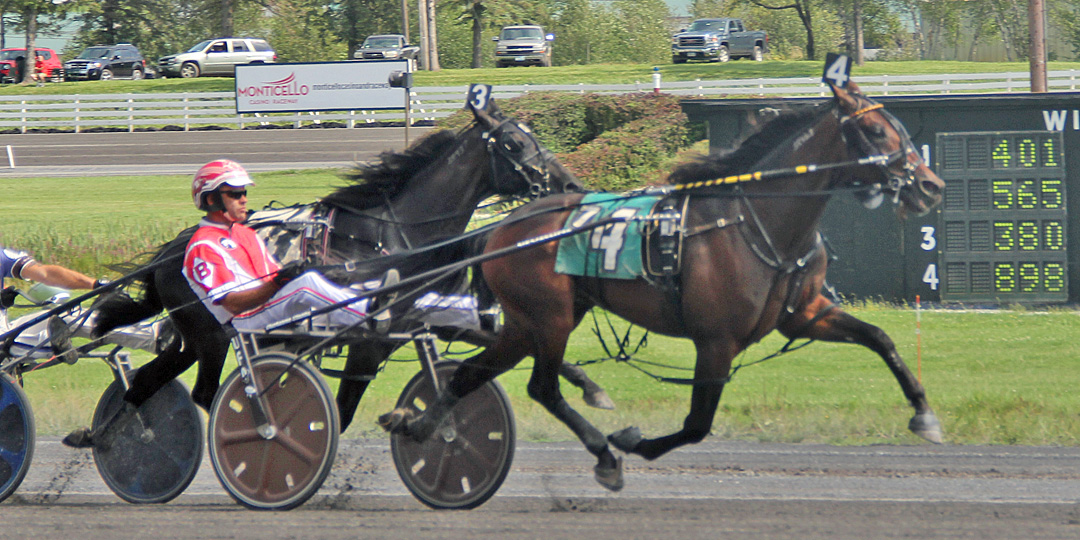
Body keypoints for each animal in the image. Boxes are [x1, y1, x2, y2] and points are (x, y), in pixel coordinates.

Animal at [90, 97, 600, 434]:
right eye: (514, 143)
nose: (570, 183)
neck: (389, 238)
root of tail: (171, 252)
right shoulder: (367, 340)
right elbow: (345, 406)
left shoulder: (428, 316)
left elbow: (506, 340)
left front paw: (587, 385)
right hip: (212, 335)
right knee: (207, 392)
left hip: (191, 341)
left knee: (152, 378)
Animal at [386, 79, 946, 490]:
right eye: (875, 131)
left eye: (898, 126)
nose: (930, 185)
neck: (755, 220)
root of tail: (501, 226)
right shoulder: (716, 340)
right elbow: (697, 424)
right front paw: (634, 443)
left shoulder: (805, 314)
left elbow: (881, 339)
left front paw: (925, 415)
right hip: (548, 317)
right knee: (539, 386)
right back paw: (601, 454)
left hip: (532, 322)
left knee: (474, 374)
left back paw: (422, 424)